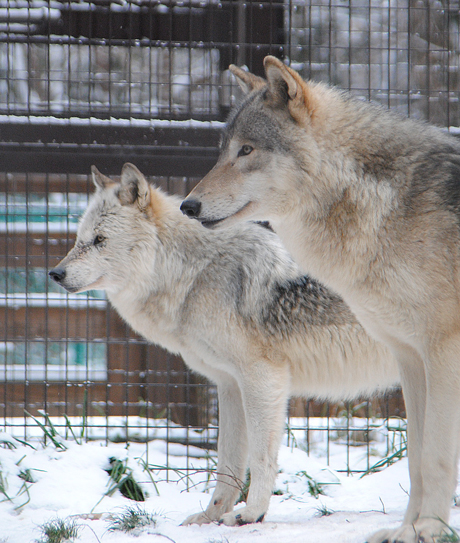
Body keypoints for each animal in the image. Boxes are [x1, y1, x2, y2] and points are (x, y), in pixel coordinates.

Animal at [48, 165, 398, 528]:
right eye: (79, 239)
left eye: (99, 240)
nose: (54, 274)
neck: (193, 274)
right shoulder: (229, 384)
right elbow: (227, 462)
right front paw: (211, 516)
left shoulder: (262, 378)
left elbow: (260, 456)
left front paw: (252, 513)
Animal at [181, 57, 460, 540]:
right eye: (223, 151)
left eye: (247, 150)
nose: (188, 206)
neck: (385, 206)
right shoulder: (410, 358)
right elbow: (418, 459)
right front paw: (406, 532)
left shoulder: (443, 352)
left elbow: (436, 456)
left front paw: (427, 530)